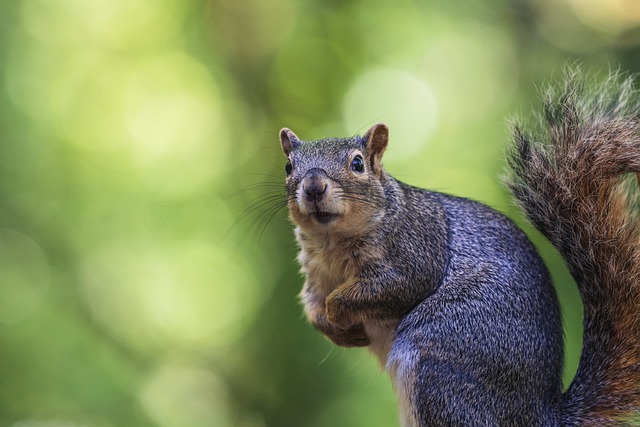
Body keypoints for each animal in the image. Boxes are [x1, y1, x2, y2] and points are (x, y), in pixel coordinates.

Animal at [278, 74, 640, 427]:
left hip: (438, 371)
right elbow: (312, 302)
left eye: (357, 164)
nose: (313, 187)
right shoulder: (317, 272)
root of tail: (537, 416)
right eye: (288, 167)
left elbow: (394, 287)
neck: (332, 242)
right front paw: (334, 328)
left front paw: (339, 311)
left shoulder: (417, 249)